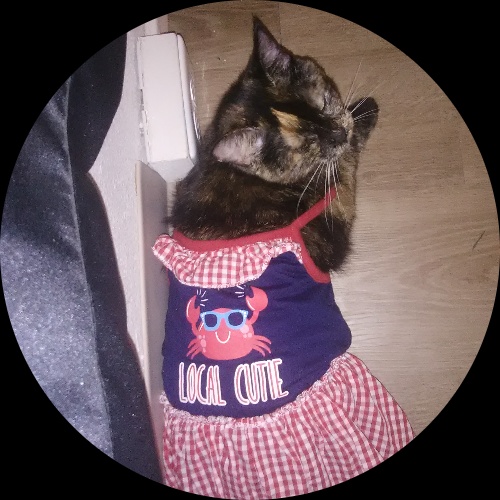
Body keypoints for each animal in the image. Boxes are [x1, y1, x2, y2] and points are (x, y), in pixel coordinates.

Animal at [169, 16, 378, 273]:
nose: (339, 134)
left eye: (324, 103)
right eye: (307, 143)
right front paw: (366, 110)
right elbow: (345, 163)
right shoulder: (333, 218)